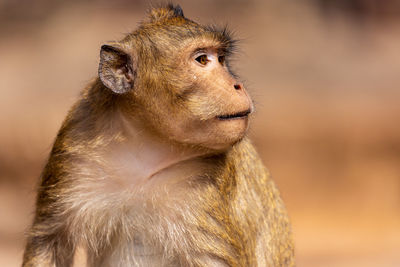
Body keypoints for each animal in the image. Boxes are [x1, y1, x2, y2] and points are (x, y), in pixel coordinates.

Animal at [23, 4, 296, 267]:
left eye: (221, 59)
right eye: (202, 60)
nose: (237, 84)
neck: (145, 143)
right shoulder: (75, 147)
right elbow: (49, 241)